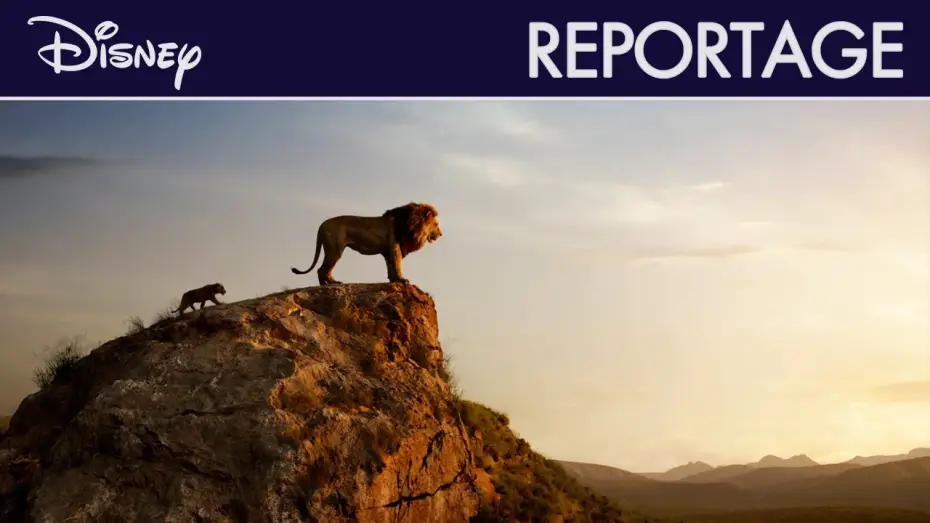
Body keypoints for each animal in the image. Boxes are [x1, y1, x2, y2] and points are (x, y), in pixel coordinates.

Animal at [290, 202, 442, 286]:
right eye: (436, 224)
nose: (441, 234)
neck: (411, 224)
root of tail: (322, 225)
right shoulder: (395, 246)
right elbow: (397, 264)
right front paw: (402, 280)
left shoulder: (387, 250)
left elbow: (390, 266)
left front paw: (393, 280)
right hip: (335, 249)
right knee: (322, 270)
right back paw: (332, 284)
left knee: (321, 270)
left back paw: (325, 286)